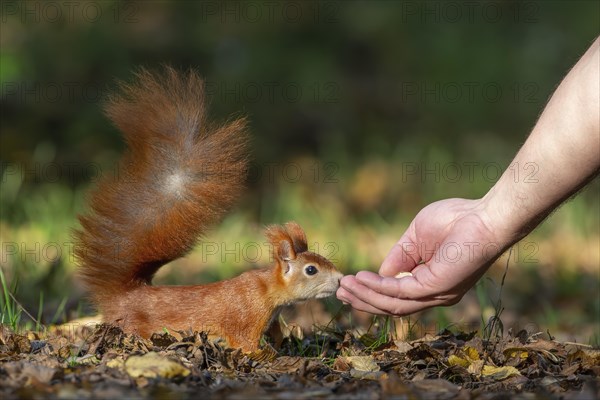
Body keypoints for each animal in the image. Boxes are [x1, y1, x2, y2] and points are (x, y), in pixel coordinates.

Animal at [76, 67, 342, 352]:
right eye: (311, 270)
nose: (340, 279)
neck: (267, 289)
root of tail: (124, 295)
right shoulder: (245, 317)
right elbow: (246, 345)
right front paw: (278, 357)